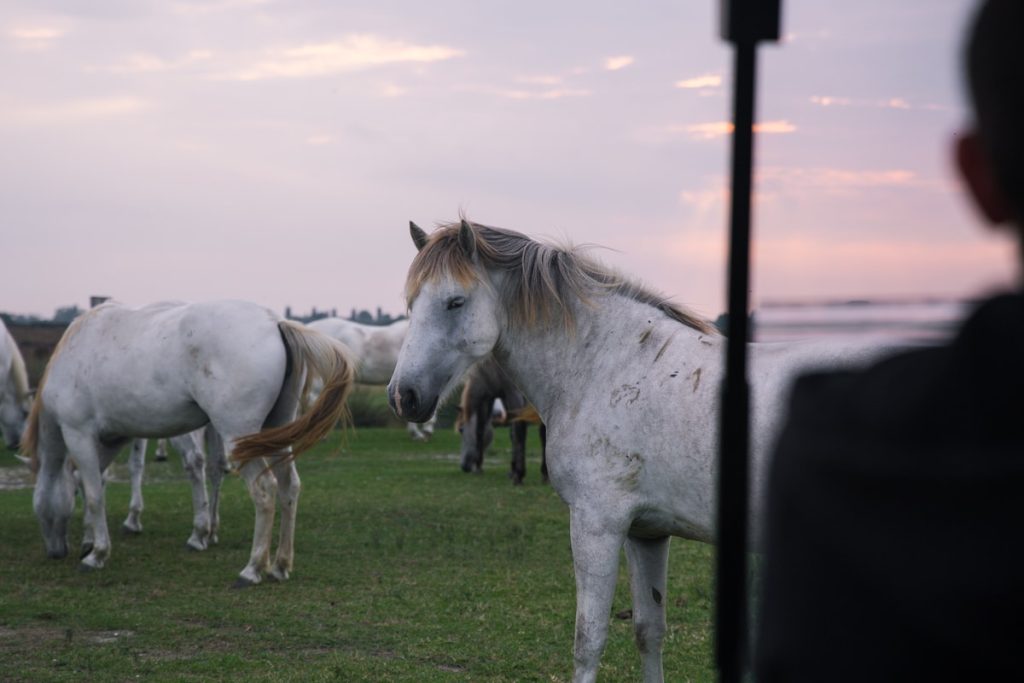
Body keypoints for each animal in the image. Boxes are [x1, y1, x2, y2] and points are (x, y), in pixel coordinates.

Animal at [22, 300, 354, 586]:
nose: (55, 552)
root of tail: (274, 322)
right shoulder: (112, 439)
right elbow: (89, 482)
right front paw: (89, 540)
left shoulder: (78, 433)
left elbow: (93, 493)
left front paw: (97, 554)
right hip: (275, 435)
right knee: (289, 488)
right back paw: (281, 566)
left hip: (240, 438)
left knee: (264, 490)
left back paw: (252, 569)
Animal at [387, 220, 897, 683]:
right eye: (411, 303)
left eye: (455, 302)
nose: (403, 396)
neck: (607, 364)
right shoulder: (647, 532)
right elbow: (648, 631)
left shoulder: (597, 525)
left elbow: (588, 639)